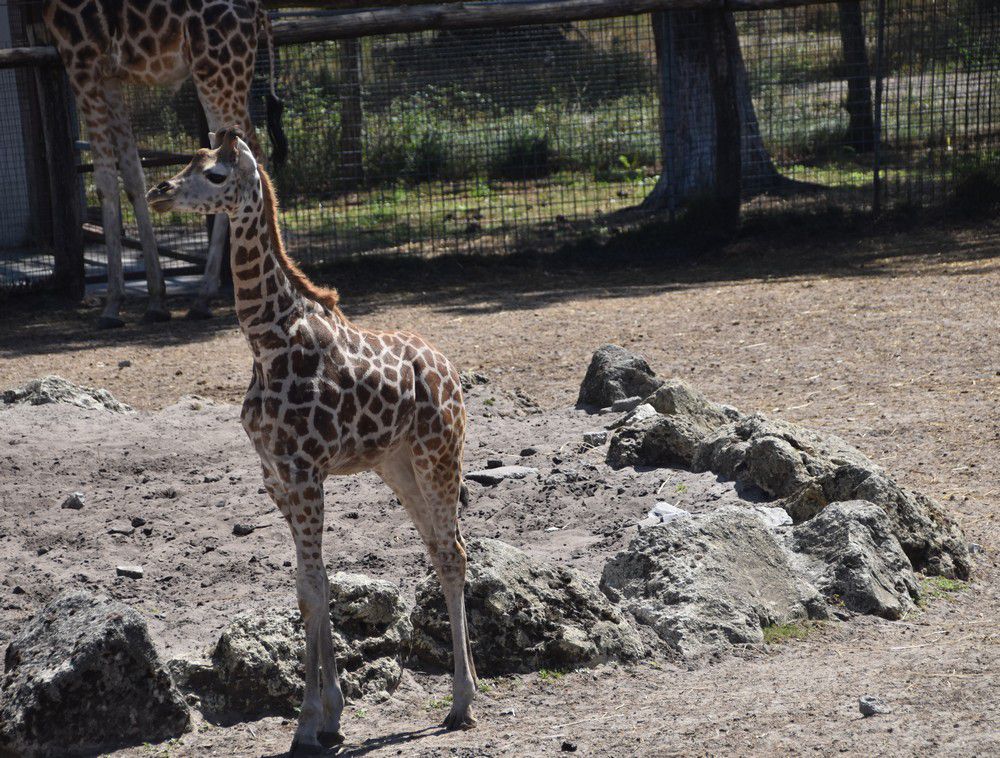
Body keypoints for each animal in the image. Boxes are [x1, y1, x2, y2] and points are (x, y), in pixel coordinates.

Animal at [43, 0, 286, 326]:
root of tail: (257, 10)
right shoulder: (110, 75)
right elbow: (133, 175)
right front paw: (156, 300)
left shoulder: (81, 57)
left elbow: (105, 181)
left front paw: (112, 304)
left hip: (216, 72)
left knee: (250, 155)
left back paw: (211, 294)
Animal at [146, 127, 478, 756]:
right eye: (190, 162)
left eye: (216, 174)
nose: (158, 192)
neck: (267, 341)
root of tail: (449, 366)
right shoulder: (276, 476)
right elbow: (311, 587)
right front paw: (330, 721)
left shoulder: (304, 472)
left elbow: (313, 591)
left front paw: (306, 724)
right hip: (396, 465)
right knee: (441, 548)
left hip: (439, 453)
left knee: (452, 553)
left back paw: (463, 704)